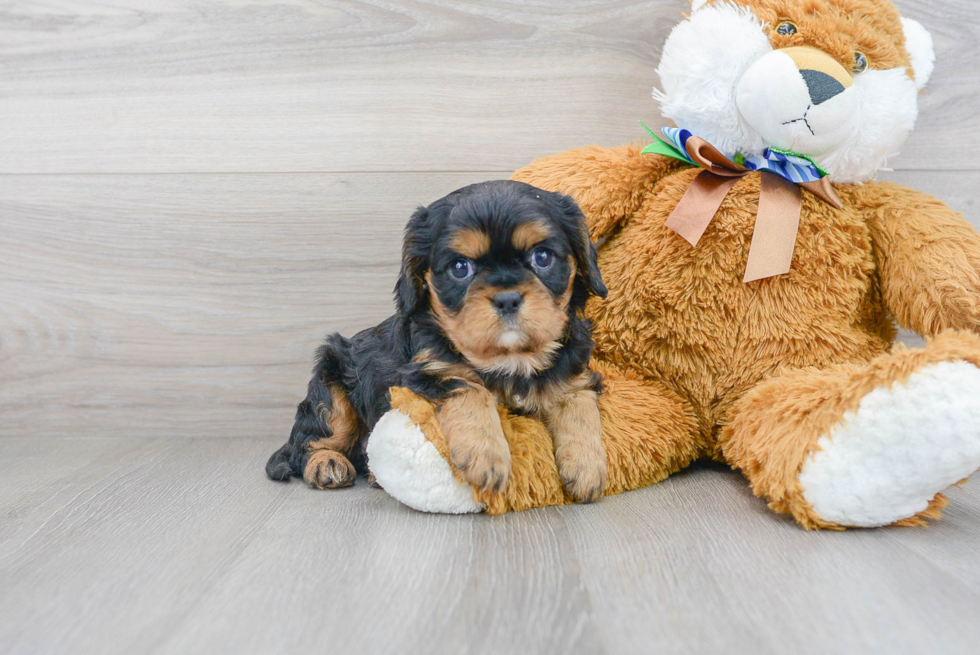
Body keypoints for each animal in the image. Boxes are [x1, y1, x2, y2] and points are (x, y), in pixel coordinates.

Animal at [264, 182, 608, 504]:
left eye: (542, 257)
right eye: (460, 268)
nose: (507, 299)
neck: (510, 357)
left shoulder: (575, 372)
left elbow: (579, 404)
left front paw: (587, 467)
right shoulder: (430, 371)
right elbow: (472, 390)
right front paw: (487, 457)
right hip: (330, 384)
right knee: (310, 443)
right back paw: (327, 464)